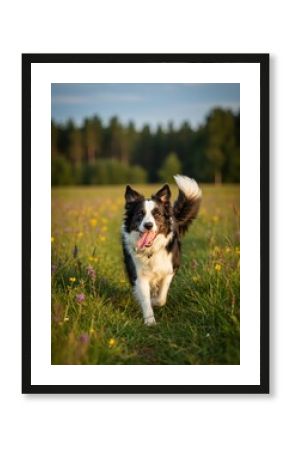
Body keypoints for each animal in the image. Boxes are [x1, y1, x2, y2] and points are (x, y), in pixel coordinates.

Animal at [120, 174, 202, 326]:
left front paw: (154, 302)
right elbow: (145, 299)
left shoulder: (170, 269)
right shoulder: (139, 275)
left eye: (157, 214)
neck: (151, 251)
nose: (148, 225)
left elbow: (161, 298)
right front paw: (150, 322)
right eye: (140, 214)